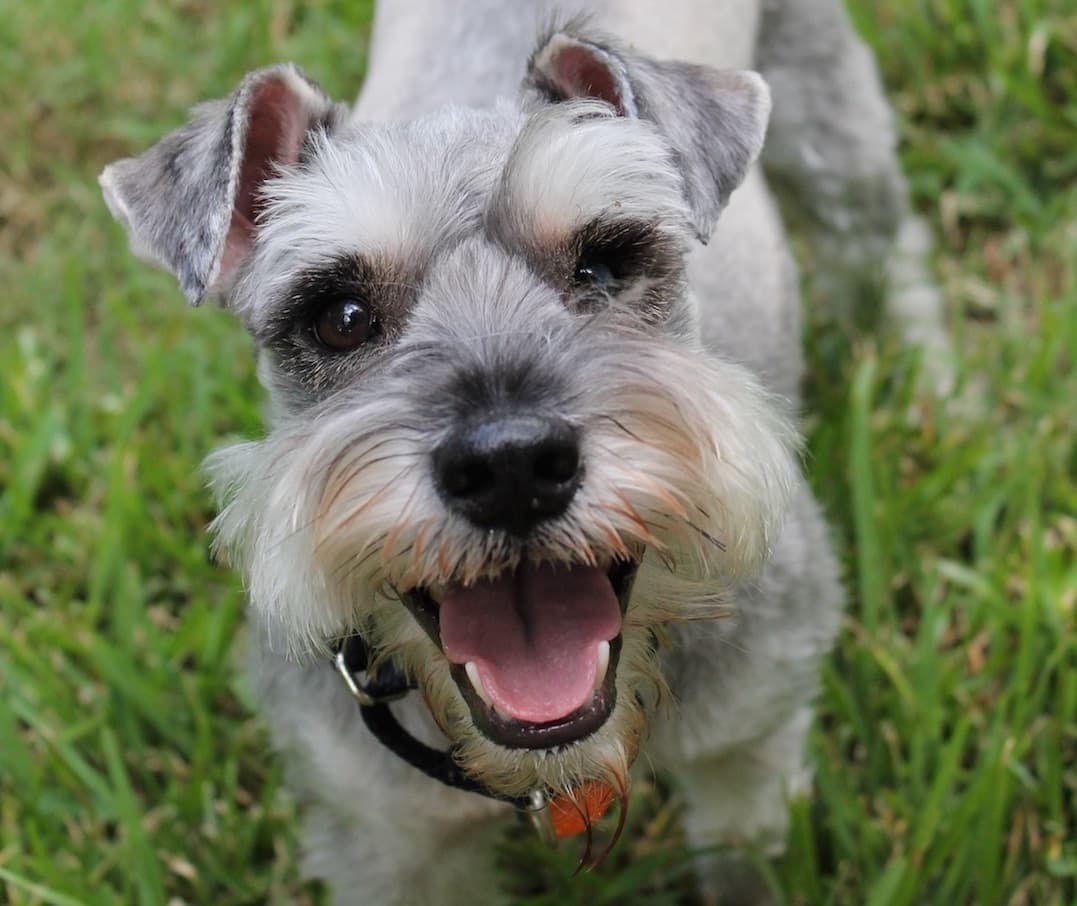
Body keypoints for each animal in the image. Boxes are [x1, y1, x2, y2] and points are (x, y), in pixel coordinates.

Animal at [99, 3, 943, 900]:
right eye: (340, 316)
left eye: (603, 265)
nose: (509, 468)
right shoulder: (388, 840)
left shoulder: (748, 744)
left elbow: (742, 855)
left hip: (834, 137)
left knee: (886, 252)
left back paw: (933, 383)